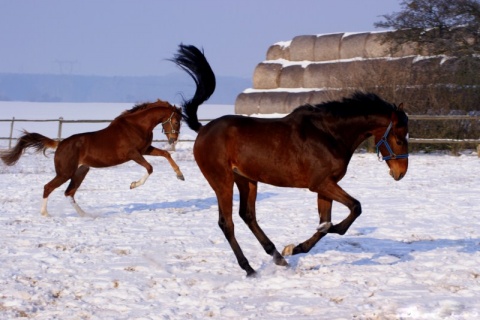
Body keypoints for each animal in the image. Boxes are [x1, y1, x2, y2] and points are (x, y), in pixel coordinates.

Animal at [1, 43, 216, 216]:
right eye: (178, 121)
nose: (174, 140)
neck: (136, 126)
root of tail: (60, 144)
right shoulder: (133, 153)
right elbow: (150, 168)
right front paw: (133, 185)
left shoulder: (145, 149)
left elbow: (165, 155)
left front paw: (180, 175)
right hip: (66, 172)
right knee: (48, 187)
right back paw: (45, 213)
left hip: (81, 171)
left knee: (69, 192)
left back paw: (86, 215)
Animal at [176, 89, 408, 276]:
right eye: (398, 138)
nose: (401, 173)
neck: (328, 135)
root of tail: (203, 130)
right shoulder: (321, 184)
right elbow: (353, 209)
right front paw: (308, 240)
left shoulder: (326, 187)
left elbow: (326, 222)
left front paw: (294, 248)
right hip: (222, 181)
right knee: (227, 223)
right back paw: (249, 268)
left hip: (247, 180)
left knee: (248, 215)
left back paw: (278, 257)